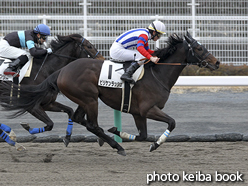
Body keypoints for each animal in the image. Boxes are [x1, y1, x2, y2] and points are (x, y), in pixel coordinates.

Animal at [0, 32, 220, 155]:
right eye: (199, 48)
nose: (217, 62)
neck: (157, 74)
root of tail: (62, 70)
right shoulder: (148, 109)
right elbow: (172, 123)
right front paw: (155, 145)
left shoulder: (138, 112)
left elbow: (143, 135)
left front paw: (117, 131)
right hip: (90, 99)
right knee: (92, 124)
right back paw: (117, 146)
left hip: (85, 99)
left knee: (79, 117)